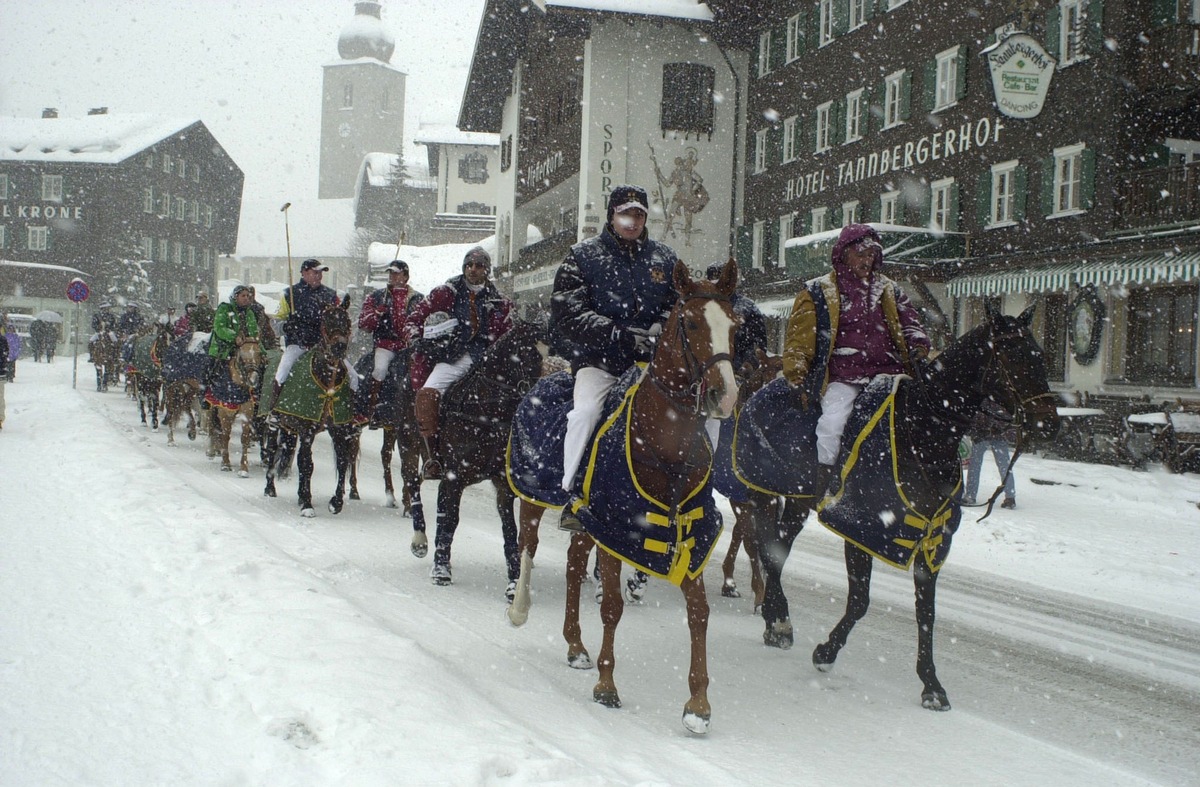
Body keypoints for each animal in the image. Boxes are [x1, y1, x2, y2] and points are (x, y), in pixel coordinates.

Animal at [424, 319, 547, 597]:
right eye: (529, 355)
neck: (487, 413)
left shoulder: (503, 485)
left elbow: (510, 530)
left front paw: (514, 582)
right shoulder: (454, 477)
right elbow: (451, 519)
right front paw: (441, 570)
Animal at [739, 304, 1060, 710]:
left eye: (1041, 355)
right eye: (1014, 356)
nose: (1049, 424)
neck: (921, 431)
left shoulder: (931, 539)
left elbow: (927, 613)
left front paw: (931, 684)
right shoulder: (860, 529)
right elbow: (859, 601)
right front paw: (826, 652)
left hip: (797, 501)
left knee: (776, 546)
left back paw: (775, 618)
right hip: (774, 492)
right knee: (770, 549)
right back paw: (777, 619)